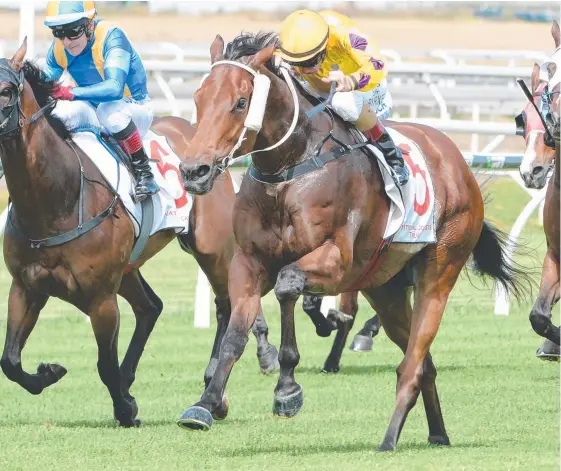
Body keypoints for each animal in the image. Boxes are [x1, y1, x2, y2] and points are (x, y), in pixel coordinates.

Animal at [0, 38, 278, 430]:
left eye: (6, 90)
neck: (57, 200)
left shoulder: (101, 298)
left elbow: (104, 364)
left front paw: (125, 409)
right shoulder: (25, 287)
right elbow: (10, 361)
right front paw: (49, 373)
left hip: (213, 249)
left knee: (226, 305)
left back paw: (215, 390)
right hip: (130, 267)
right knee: (151, 307)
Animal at [176, 31, 528, 452]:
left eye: (240, 103)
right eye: (199, 98)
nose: (194, 171)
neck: (290, 170)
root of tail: (457, 161)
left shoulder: (336, 260)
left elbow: (288, 285)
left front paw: (287, 389)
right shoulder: (249, 262)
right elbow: (234, 334)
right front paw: (206, 403)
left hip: (439, 273)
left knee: (413, 361)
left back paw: (389, 439)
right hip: (386, 289)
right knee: (423, 362)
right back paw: (437, 433)